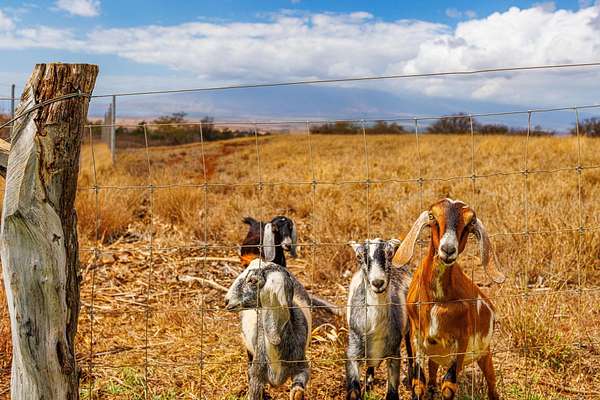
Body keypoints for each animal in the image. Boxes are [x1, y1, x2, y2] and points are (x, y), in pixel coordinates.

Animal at [346, 239, 413, 400]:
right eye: (359, 257)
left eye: (390, 253)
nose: (377, 282)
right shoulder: (352, 352)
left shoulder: (394, 354)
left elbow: (392, 394)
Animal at [393, 198, 505, 400]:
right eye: (432, 216)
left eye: (470, 222)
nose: (447, 250)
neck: (436, 300)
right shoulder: (416, 337)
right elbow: (418, 383)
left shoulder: (461, 341)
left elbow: (449, 386)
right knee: (432, 373)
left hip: (484, 353)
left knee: (492, 383)